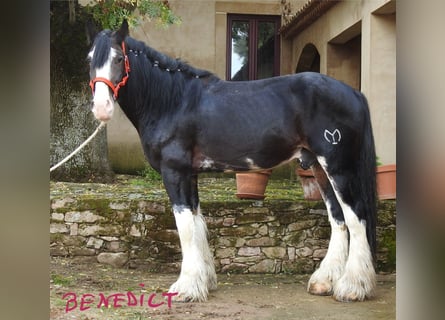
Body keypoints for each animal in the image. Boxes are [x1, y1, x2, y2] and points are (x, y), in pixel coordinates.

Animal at [88, 21, 376, 302]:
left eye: (118, 58)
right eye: (90, 59)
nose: (101, 108)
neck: (172, 102)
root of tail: (353, 92)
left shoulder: (174, 172)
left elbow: (185, 227)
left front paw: (185, 288)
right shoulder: (190, 174)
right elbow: (197, 223)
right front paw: (203, 282)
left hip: (338, 166)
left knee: (356, 217)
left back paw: (352, 287)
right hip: (319, 167)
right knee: (337, 217)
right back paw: (324, 281)